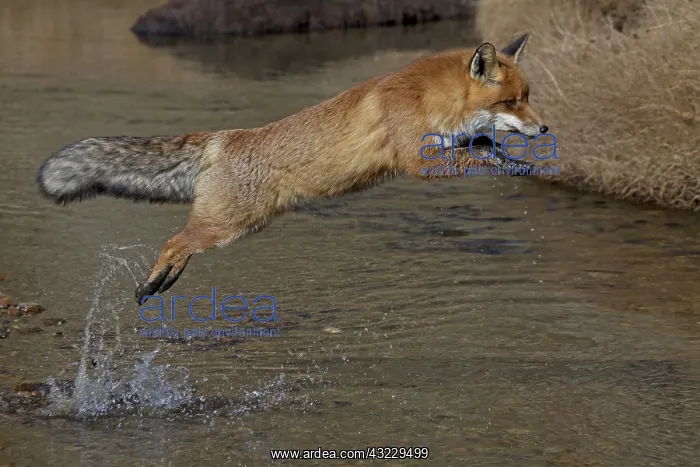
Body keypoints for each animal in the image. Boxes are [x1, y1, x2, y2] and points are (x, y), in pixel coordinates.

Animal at [36, 34, 547, 305]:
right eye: (511, 102)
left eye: (527, 98)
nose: (544, 128)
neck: (430, 99)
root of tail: (228, 137)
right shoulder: (418, 161)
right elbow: (477, 156)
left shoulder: (450, 143)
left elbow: (486, 147)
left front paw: (521, 164)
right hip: (226, 226)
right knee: (175, 241)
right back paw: (152, 283)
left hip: (238, 225)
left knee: (182, 244)